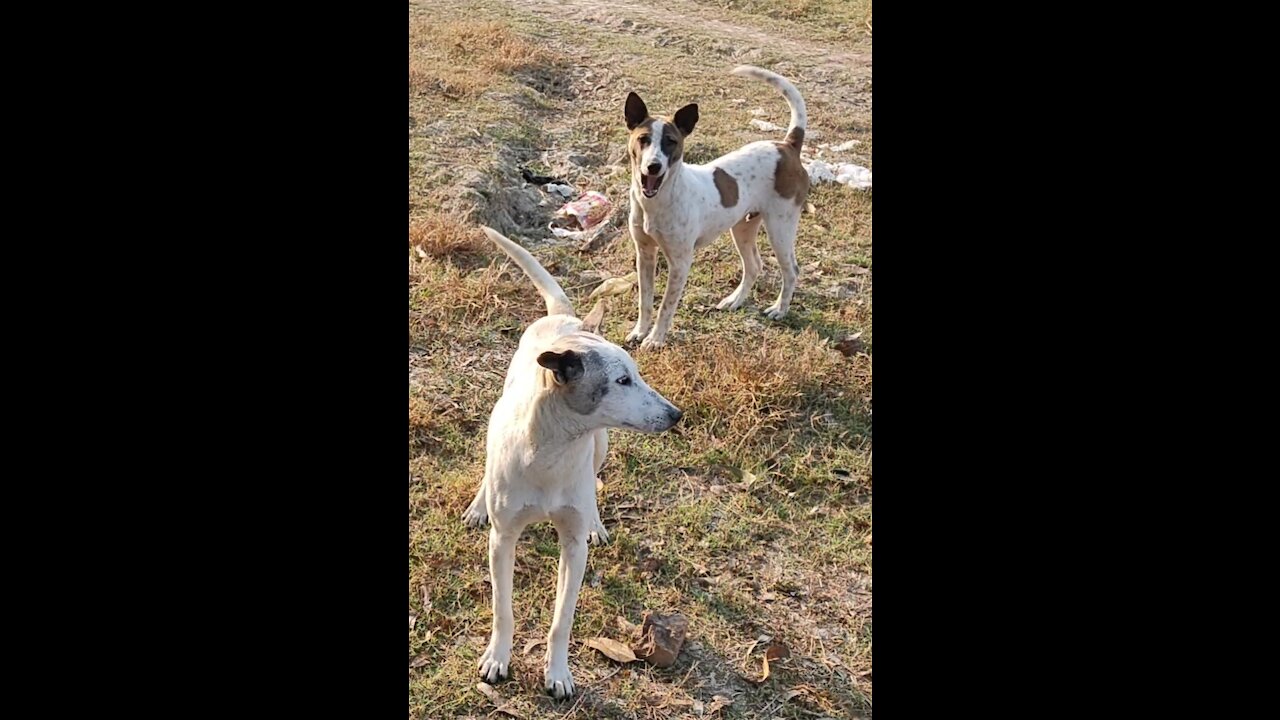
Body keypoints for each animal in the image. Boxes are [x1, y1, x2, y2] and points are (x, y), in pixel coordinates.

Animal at [458, 225, 680, 696]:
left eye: (636, 374)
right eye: (622, 380)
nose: (676, 415)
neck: (551, 453)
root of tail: (567, 319)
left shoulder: (573, 548)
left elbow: (562, 619)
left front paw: (557, 672)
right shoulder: (503, 542)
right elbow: (503, 609)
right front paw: (497, 658)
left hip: (602, 444)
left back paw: (597, 521)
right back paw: (478, 506)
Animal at [622, 65, 808, 348]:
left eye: (671, 142)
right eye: (643, 139)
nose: (654, 166)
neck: (658, 202)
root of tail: (787, 146)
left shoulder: (680, 262)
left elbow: (665, 306)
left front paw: (655, 339)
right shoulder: (644, 254)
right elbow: (646, 301)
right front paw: (640, 331)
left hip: (780, 228)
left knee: (792, 270)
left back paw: (779, 309)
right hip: (743, 228)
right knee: (754, 266)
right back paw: (735, 300)